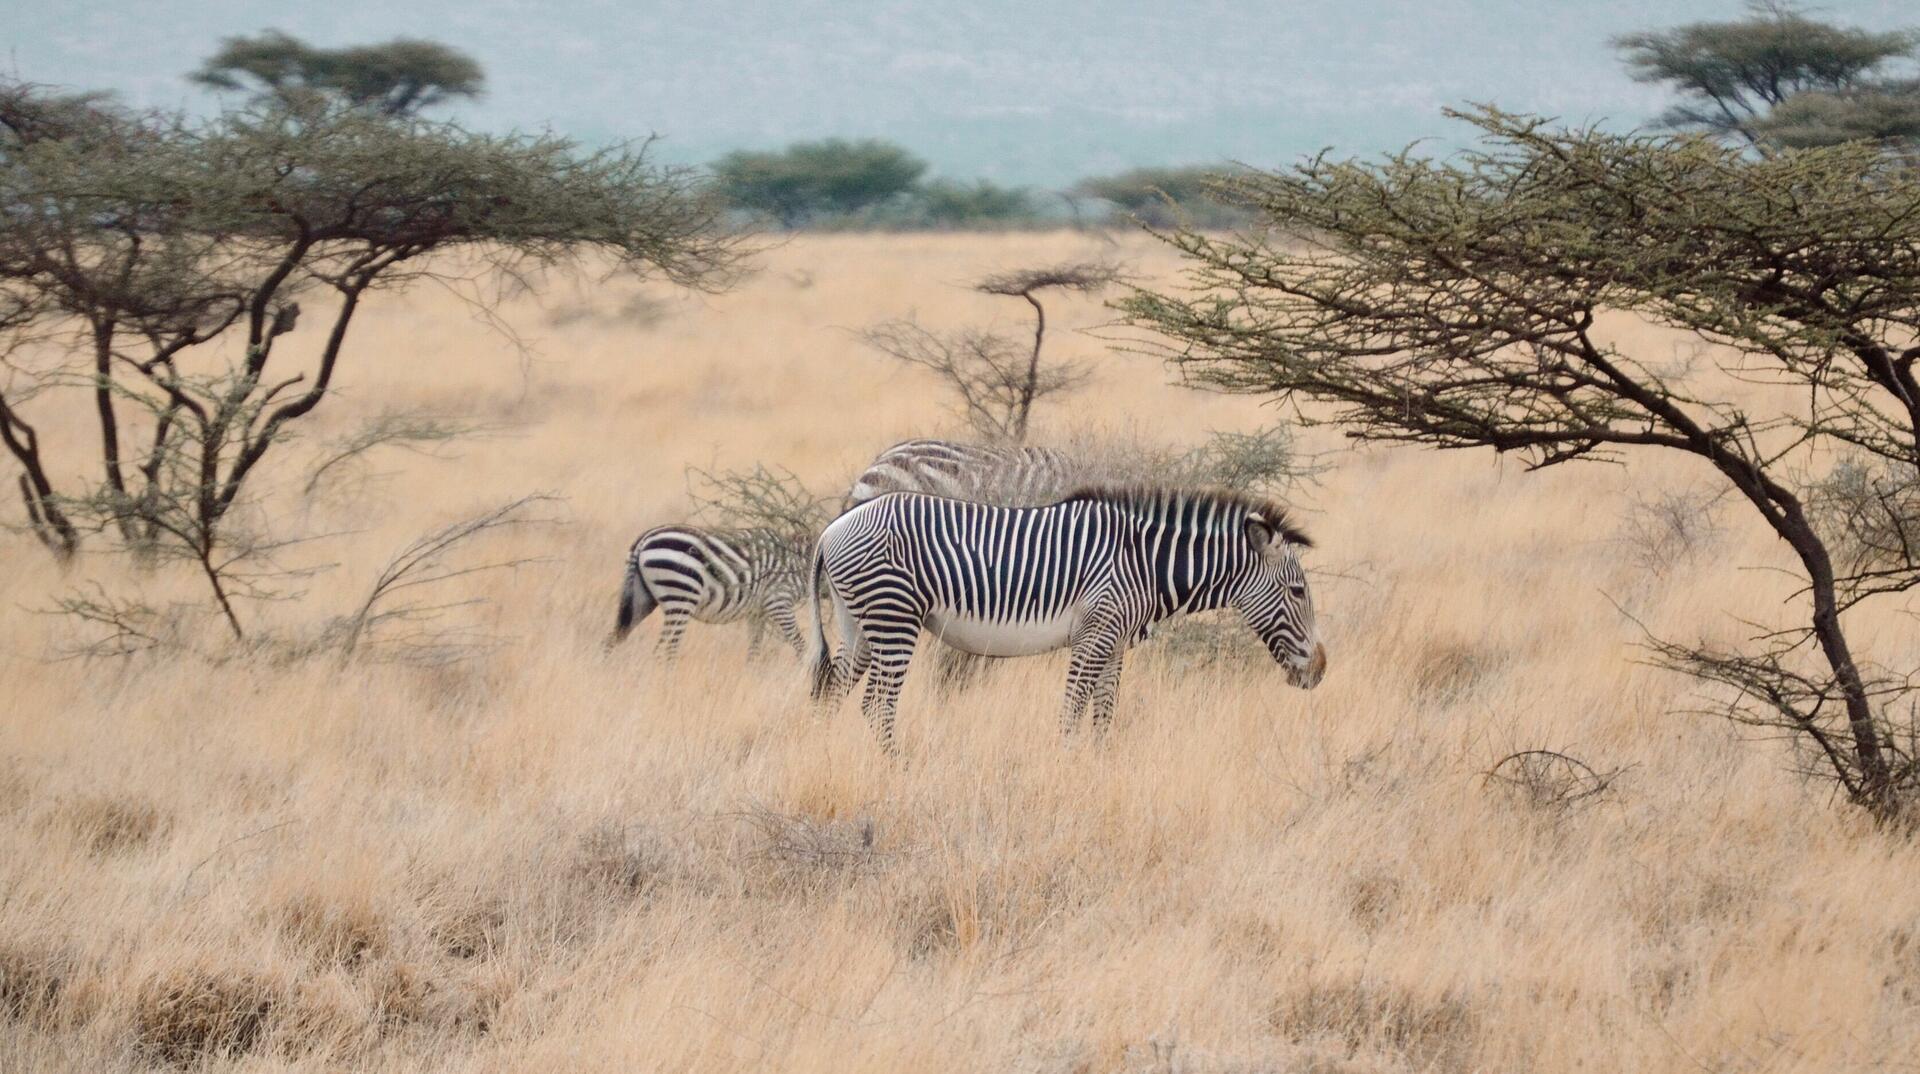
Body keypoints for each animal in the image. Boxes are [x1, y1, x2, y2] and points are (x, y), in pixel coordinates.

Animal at [610, 525, 812, 660]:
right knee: (666, 649)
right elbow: (801, 645)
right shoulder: (778, 601)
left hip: (642, 598)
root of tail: (644, 539)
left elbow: (754, 649)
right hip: (681, 597)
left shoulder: (758, 612)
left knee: (612, 639)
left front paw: (752, 677)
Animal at [805, 485, 1326, 749]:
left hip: (859, 624)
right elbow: (1072, 712)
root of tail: (831, 529)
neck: (1143, 563)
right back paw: (896, 769)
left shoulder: (1114, 642)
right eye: (1299, 591)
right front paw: (1065, 767)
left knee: (832, 693)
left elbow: (1103, 714)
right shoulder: (1095, 633)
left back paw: (825, 760)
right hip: (894, 617)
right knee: (877, 704)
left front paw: (1096, 768)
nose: (1320, 669)